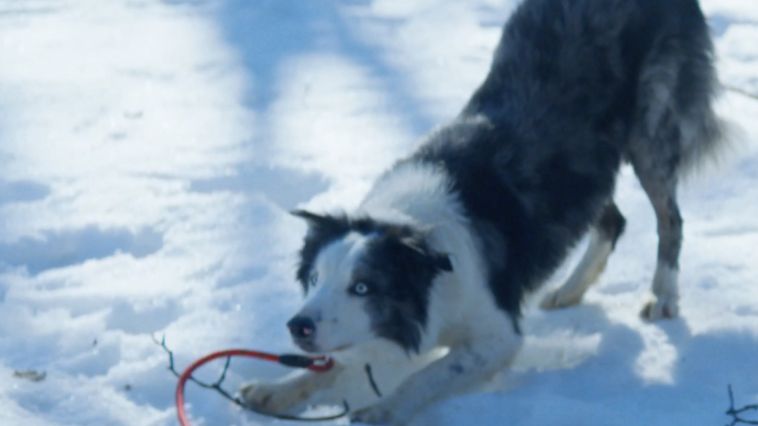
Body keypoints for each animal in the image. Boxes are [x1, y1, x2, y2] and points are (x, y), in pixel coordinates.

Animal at [242, 0, 724, 422]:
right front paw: (274, 390)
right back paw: (569, 289)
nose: (298, 326)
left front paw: (384, 409)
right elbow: (326, 368)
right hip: (585, 166)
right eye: (314, 279)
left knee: (670, 219)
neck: (423, 247)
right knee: (611, 218)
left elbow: (431, 373)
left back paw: (662, 295)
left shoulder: (497, 335)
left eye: (363, 287)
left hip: (650, 130)